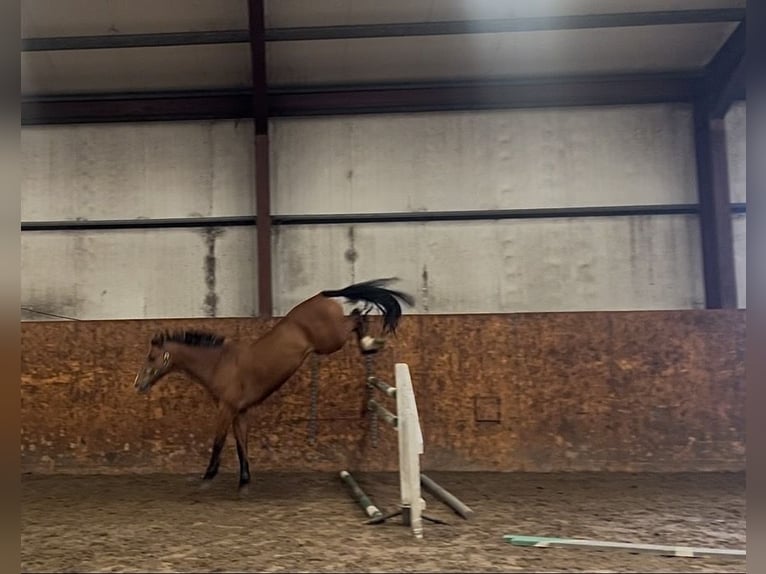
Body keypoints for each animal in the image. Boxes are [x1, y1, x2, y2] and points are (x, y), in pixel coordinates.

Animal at [132, 277, 415, 492]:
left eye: (151, 357)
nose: (138, 384)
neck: (219, 363)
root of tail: (322, 295)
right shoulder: (240, 412)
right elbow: (241, 444)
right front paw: (244, 481)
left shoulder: (226, 409)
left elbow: (219, 442)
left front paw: (207, 477)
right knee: (357, 317)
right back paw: (370, 345)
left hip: (331, 340)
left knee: (356, 317)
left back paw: (370, 343)